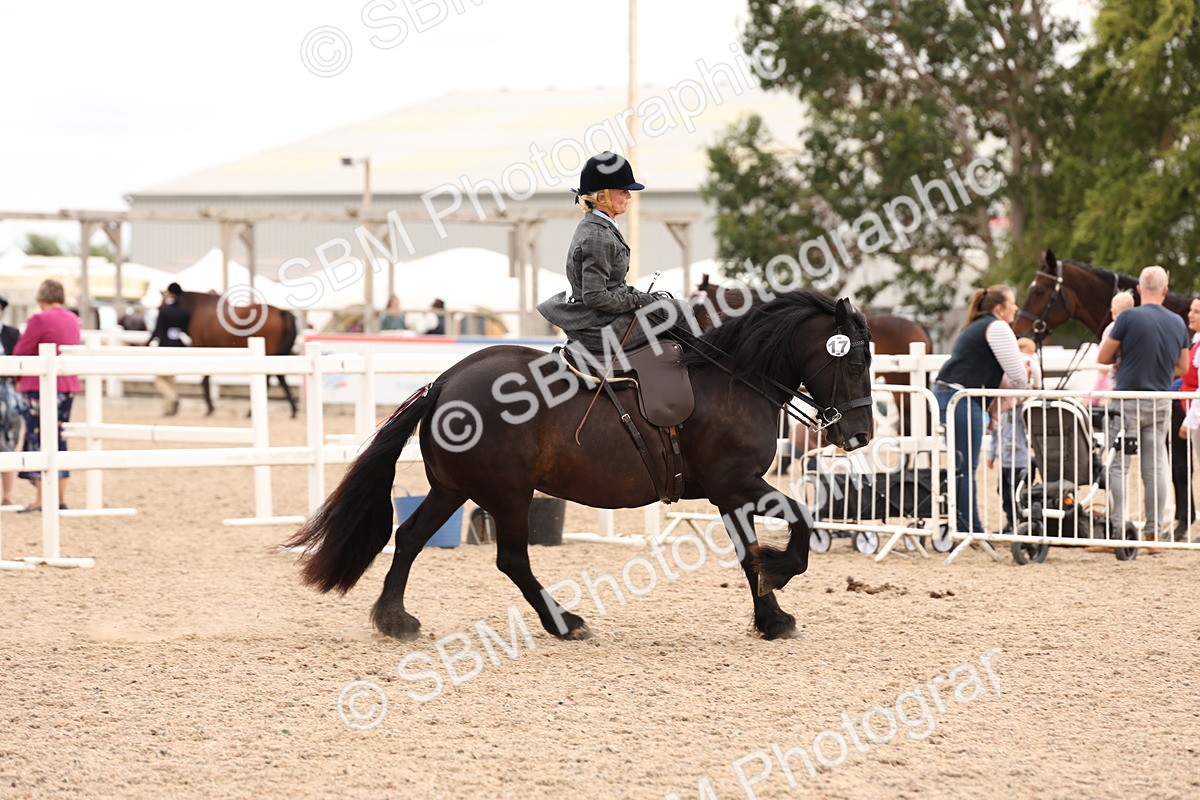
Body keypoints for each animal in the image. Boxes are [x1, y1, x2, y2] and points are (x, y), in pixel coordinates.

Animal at [285, 290, 874, 642]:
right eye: (855, 361)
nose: (859, 435)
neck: (734, 380)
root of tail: (447, 380)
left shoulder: (731, 493)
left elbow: (748, 552)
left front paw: (770, 617)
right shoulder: (739, 483)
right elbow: (800, 520)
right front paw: (782, 572)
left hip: (453, 489)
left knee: (408, 538)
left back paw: (394, 619)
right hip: (508, 494)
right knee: (512, 560)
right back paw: (564, 621)